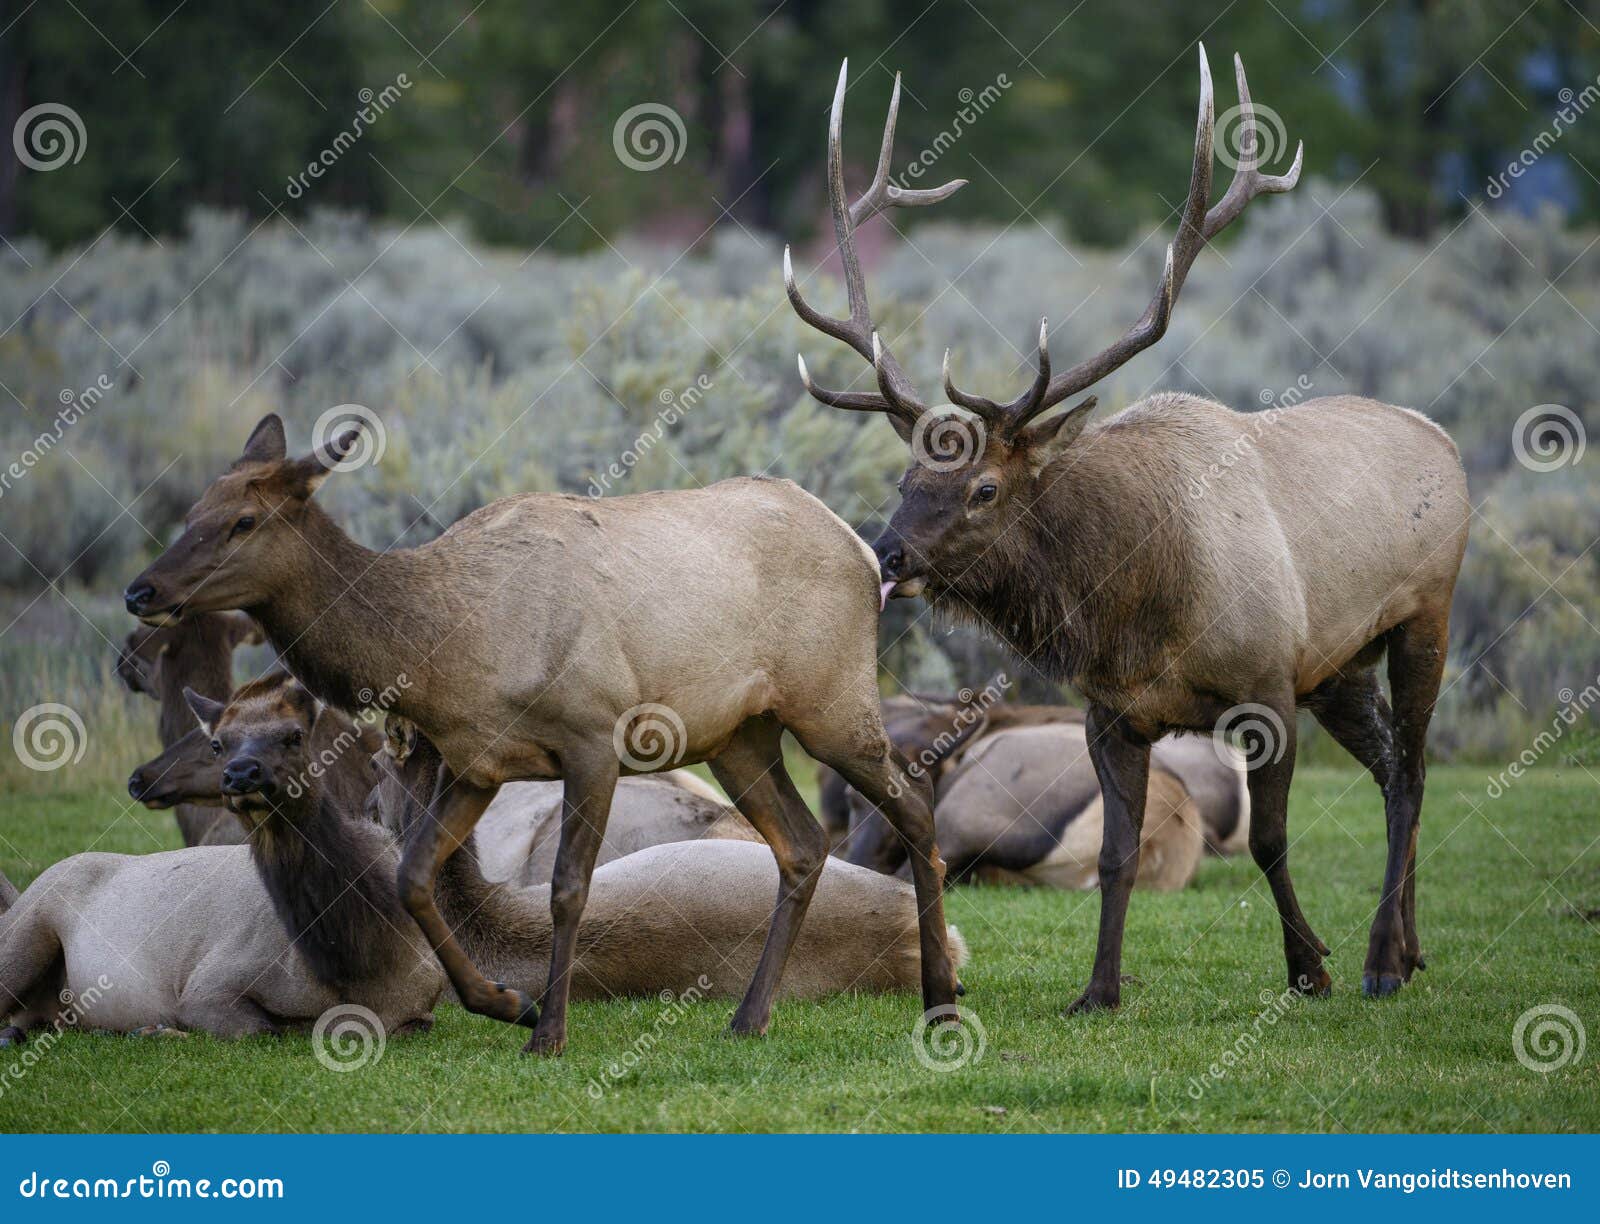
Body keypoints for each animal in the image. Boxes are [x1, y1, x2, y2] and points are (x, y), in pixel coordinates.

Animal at [780, 52, 1465, 1004]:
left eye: (984, 487)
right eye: (911, 476)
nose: (884, 553)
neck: (1142, 609)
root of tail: (1444, 440)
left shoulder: (1268, 688)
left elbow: (1270, 839)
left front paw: (1308, 968)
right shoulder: (1111, 714)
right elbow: (1114, 855)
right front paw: (1098, 990)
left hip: (1425, 617)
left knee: (1415, 770)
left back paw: (1378, 961)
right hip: (1340, 665)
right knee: (1400, 769)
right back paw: (1410, 947)